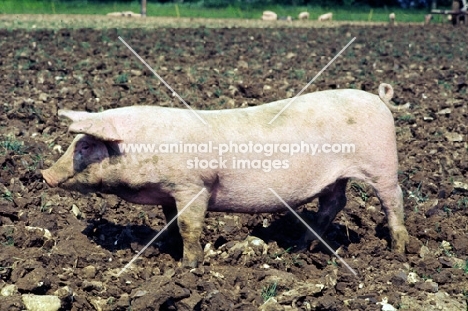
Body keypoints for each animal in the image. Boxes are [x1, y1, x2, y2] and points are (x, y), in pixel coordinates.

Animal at [43, 84, 410, 270]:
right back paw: (299, 248)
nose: (45, 174)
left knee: (393, 199)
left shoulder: (193, 185)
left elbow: (189, 226)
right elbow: (170, 222)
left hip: (382, 166)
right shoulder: (170, 192)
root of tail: (379, 99)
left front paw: (187, 266)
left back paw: (399, 249)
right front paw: (163, 248)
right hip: (335, 177)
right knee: (334, 202)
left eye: (86, 144)